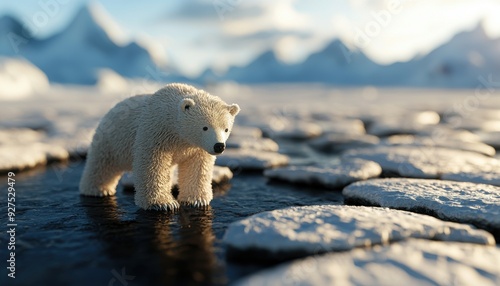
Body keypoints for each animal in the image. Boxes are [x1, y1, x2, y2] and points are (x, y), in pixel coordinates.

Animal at [80, 82, 240, 210]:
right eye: (205, 127)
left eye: (226, 129)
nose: (219, 146)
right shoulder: (156, 132)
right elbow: (153, 166)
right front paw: (163, 204)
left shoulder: (195, 147)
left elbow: (197, 167)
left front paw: (196, 201)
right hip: (110, 141)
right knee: (101, 165)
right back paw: (98, 190)